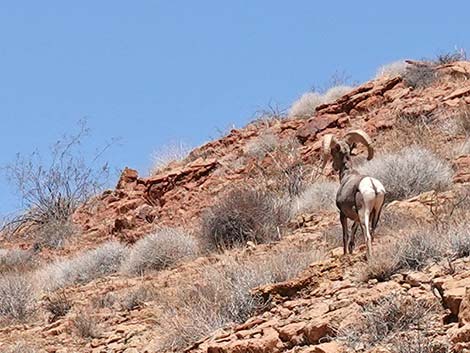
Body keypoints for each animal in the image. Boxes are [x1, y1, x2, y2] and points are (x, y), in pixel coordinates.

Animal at [324, 129, 386, 258]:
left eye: (333, 153)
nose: (334, 167)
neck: (347, 175)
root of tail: (372, 185)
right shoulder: (356, 217)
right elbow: (353, 230)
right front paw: (351, 248)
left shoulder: (342, 214)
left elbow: (345, 235)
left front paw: (346, 253)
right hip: (377, 212)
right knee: (372, 233)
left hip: (364, 214)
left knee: (367, 236)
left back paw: (369, 257)